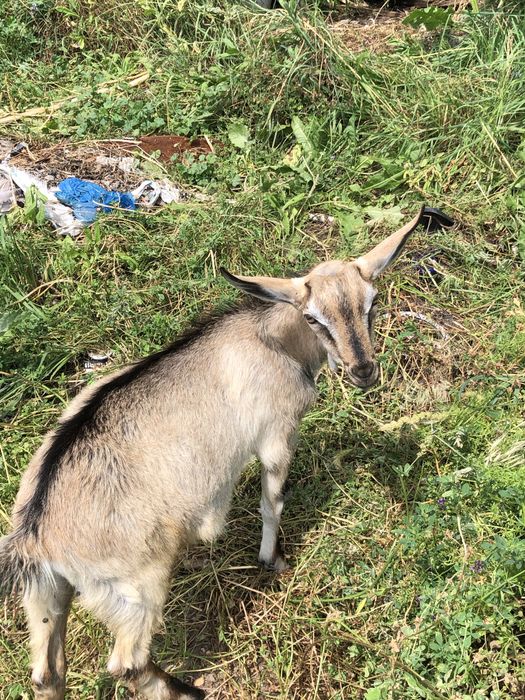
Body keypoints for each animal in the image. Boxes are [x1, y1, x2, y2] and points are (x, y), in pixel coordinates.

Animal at [0, 207, 427, 699]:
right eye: (313, 317)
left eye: (371, 303)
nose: (363, 370)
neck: (270, 340)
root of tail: (36, 535)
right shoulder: (277, 432)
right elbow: (272, 503)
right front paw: (273, 560)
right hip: (134, 586)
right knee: (126, 662)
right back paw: (189, 690)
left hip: (46, 591)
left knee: (47, 671)